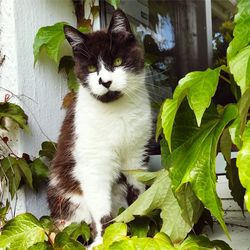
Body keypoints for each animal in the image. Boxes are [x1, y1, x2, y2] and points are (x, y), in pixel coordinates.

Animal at [47, 9, 152, 248]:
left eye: (118, 60)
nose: (105, 82)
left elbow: (137, 195)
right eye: (92, 68)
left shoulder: (137, 154)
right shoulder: (94, 163)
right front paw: (105, 240)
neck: (117, 112)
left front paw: (142, 231)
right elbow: (101, 208)